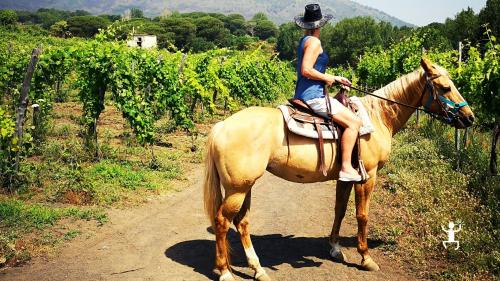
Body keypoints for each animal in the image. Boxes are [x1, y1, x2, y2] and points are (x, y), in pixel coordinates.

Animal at [203, 57, 472, 280]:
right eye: (445, 88)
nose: (469, 117)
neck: (378, 116)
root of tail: (222, 126)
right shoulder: (367, 176)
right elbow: (362, 215)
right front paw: (366, 257)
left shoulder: (346, 178)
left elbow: (340, 210)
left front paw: (334, 248)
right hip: (237, 189)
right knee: (222, 222)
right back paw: (225, 272)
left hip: (245, 186)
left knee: (242, 222)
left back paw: (258, 269)